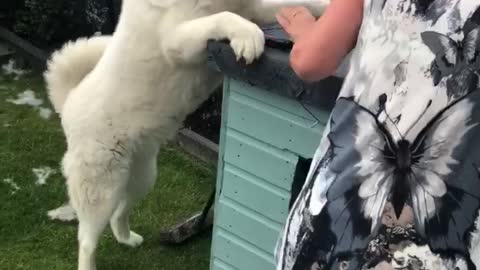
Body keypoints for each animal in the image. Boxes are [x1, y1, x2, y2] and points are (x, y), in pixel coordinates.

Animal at [43, 0, 328, 270]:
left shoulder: (252, 9)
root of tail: (69, 100)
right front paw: (248, 36)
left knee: (119, 213)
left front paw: (324, 10)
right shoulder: (176, 40)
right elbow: (222, 17)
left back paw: (128, 239)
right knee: (86, 240)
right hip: (102, 189)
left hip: (142, 178)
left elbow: (293, 5)